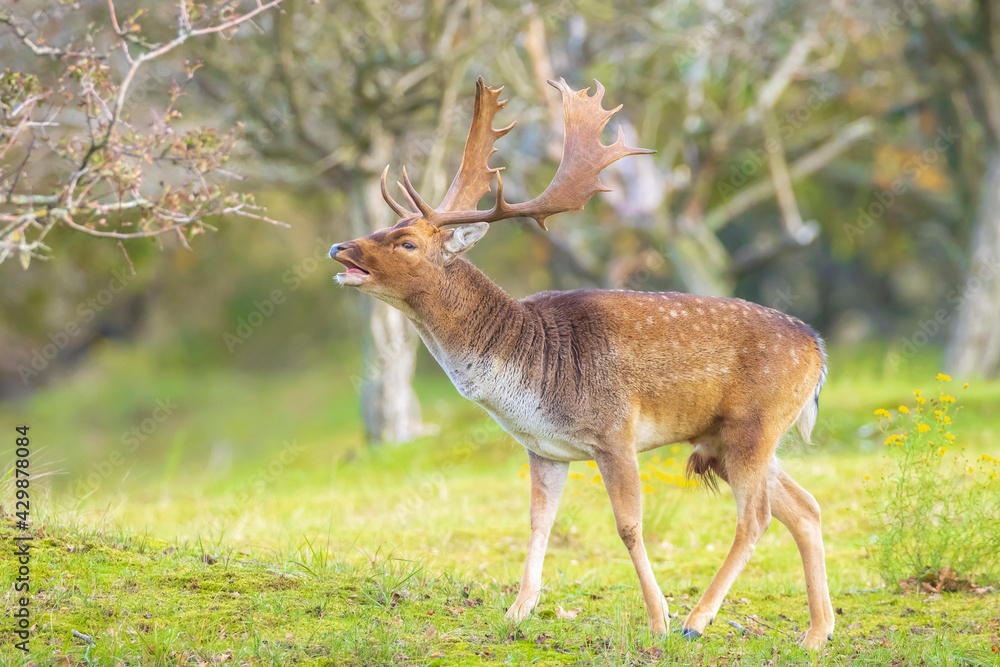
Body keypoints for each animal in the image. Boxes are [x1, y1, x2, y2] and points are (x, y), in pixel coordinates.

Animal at [329, 77, 835, 650]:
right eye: (388, 226)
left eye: (407, 241)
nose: (340, 248)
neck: (529, 375)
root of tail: (819, 351)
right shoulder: (544, 449)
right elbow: (537, 523)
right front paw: (518, 612)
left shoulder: (615, 432)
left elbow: (629, 526)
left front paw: (657, 620)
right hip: (730, 439)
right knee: (806, 508)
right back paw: (816, 633)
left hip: (755, 425)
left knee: (757, 518)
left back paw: (696, 619)